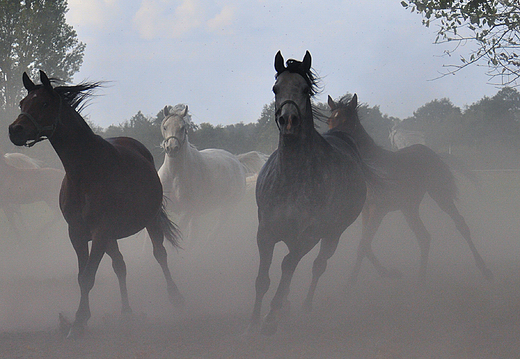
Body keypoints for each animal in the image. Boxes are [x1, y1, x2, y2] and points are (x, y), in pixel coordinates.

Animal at [8, 71, 185, 338]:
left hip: (150, 221)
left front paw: (79, 321)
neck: (86, 171)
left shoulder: (100, 232)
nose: (14, 130)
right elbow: (83, 276)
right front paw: (80, 319)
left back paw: (175, 298)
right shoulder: (78, 233)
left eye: (44, 103)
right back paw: (126, 312)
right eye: (22, 103)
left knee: (159, 255)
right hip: (111, 237)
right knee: (120, 265)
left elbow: (88, 277)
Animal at [157, 105, 264, 240]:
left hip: (227, 208)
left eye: (182, 128)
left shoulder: (186, 213)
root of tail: (237, 160)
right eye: (165, 126)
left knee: (213, 232)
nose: (172, 148)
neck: (174, 175)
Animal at [250, 52, 368, 336]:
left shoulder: (310, 235)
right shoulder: (265, 231)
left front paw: (271, 316)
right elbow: (263, 278)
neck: (292, 176)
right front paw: (254, 321)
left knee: (317, 266)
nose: (288, 121)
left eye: (305, 89)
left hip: (333, 235)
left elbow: (288, 265)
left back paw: (303, 306)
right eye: (276, 88)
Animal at [328, 94, 494, 286]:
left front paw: (351, 283)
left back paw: (484, 269)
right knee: (424, 237)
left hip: (440, 194)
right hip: (409, 207)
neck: (372, 170)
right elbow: (366, 244)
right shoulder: (366, 210)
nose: (333, 142)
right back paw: (420, 279)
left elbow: (363, 245)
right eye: (330, 120)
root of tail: (434, 154)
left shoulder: (379, 210)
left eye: (347, 120)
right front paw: (389, 273)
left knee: (460, 225)